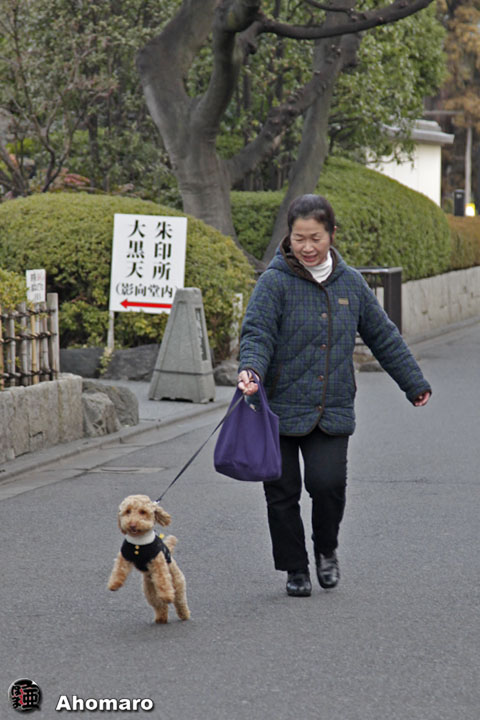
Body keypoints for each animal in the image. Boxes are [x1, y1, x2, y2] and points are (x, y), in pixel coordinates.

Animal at [108, 494, 190, 624]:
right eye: (128, 511)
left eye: (143, 512)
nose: (132, 525)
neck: (139, 543)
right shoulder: (124, 555)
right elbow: (119, 569)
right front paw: (114, 584)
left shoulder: (157, 562)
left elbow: (163, 581)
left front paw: (167, 596)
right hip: (149, 590)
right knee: (159, 604)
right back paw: (161, 618)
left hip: (177, 582)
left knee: (179, 600)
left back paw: (184, 614)